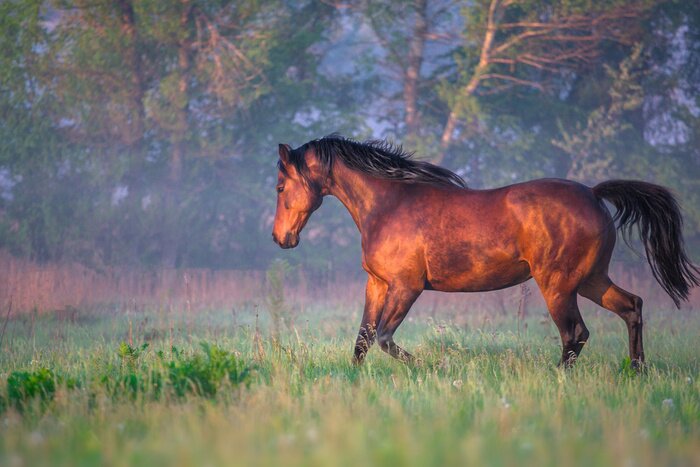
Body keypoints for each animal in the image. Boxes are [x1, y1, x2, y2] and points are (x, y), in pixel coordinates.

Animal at [271, 135, 699, 368]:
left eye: (279, 186)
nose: (280, 238)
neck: (388, 203)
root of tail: (594, 194)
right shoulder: (377, 284)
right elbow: (363, 338)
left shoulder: (407, 286)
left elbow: (385, 339)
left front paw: (433, 365)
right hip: (592, 279)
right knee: (631, 307)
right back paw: (637, 371)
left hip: (558, 284)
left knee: (575, 333)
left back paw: (556, 377)